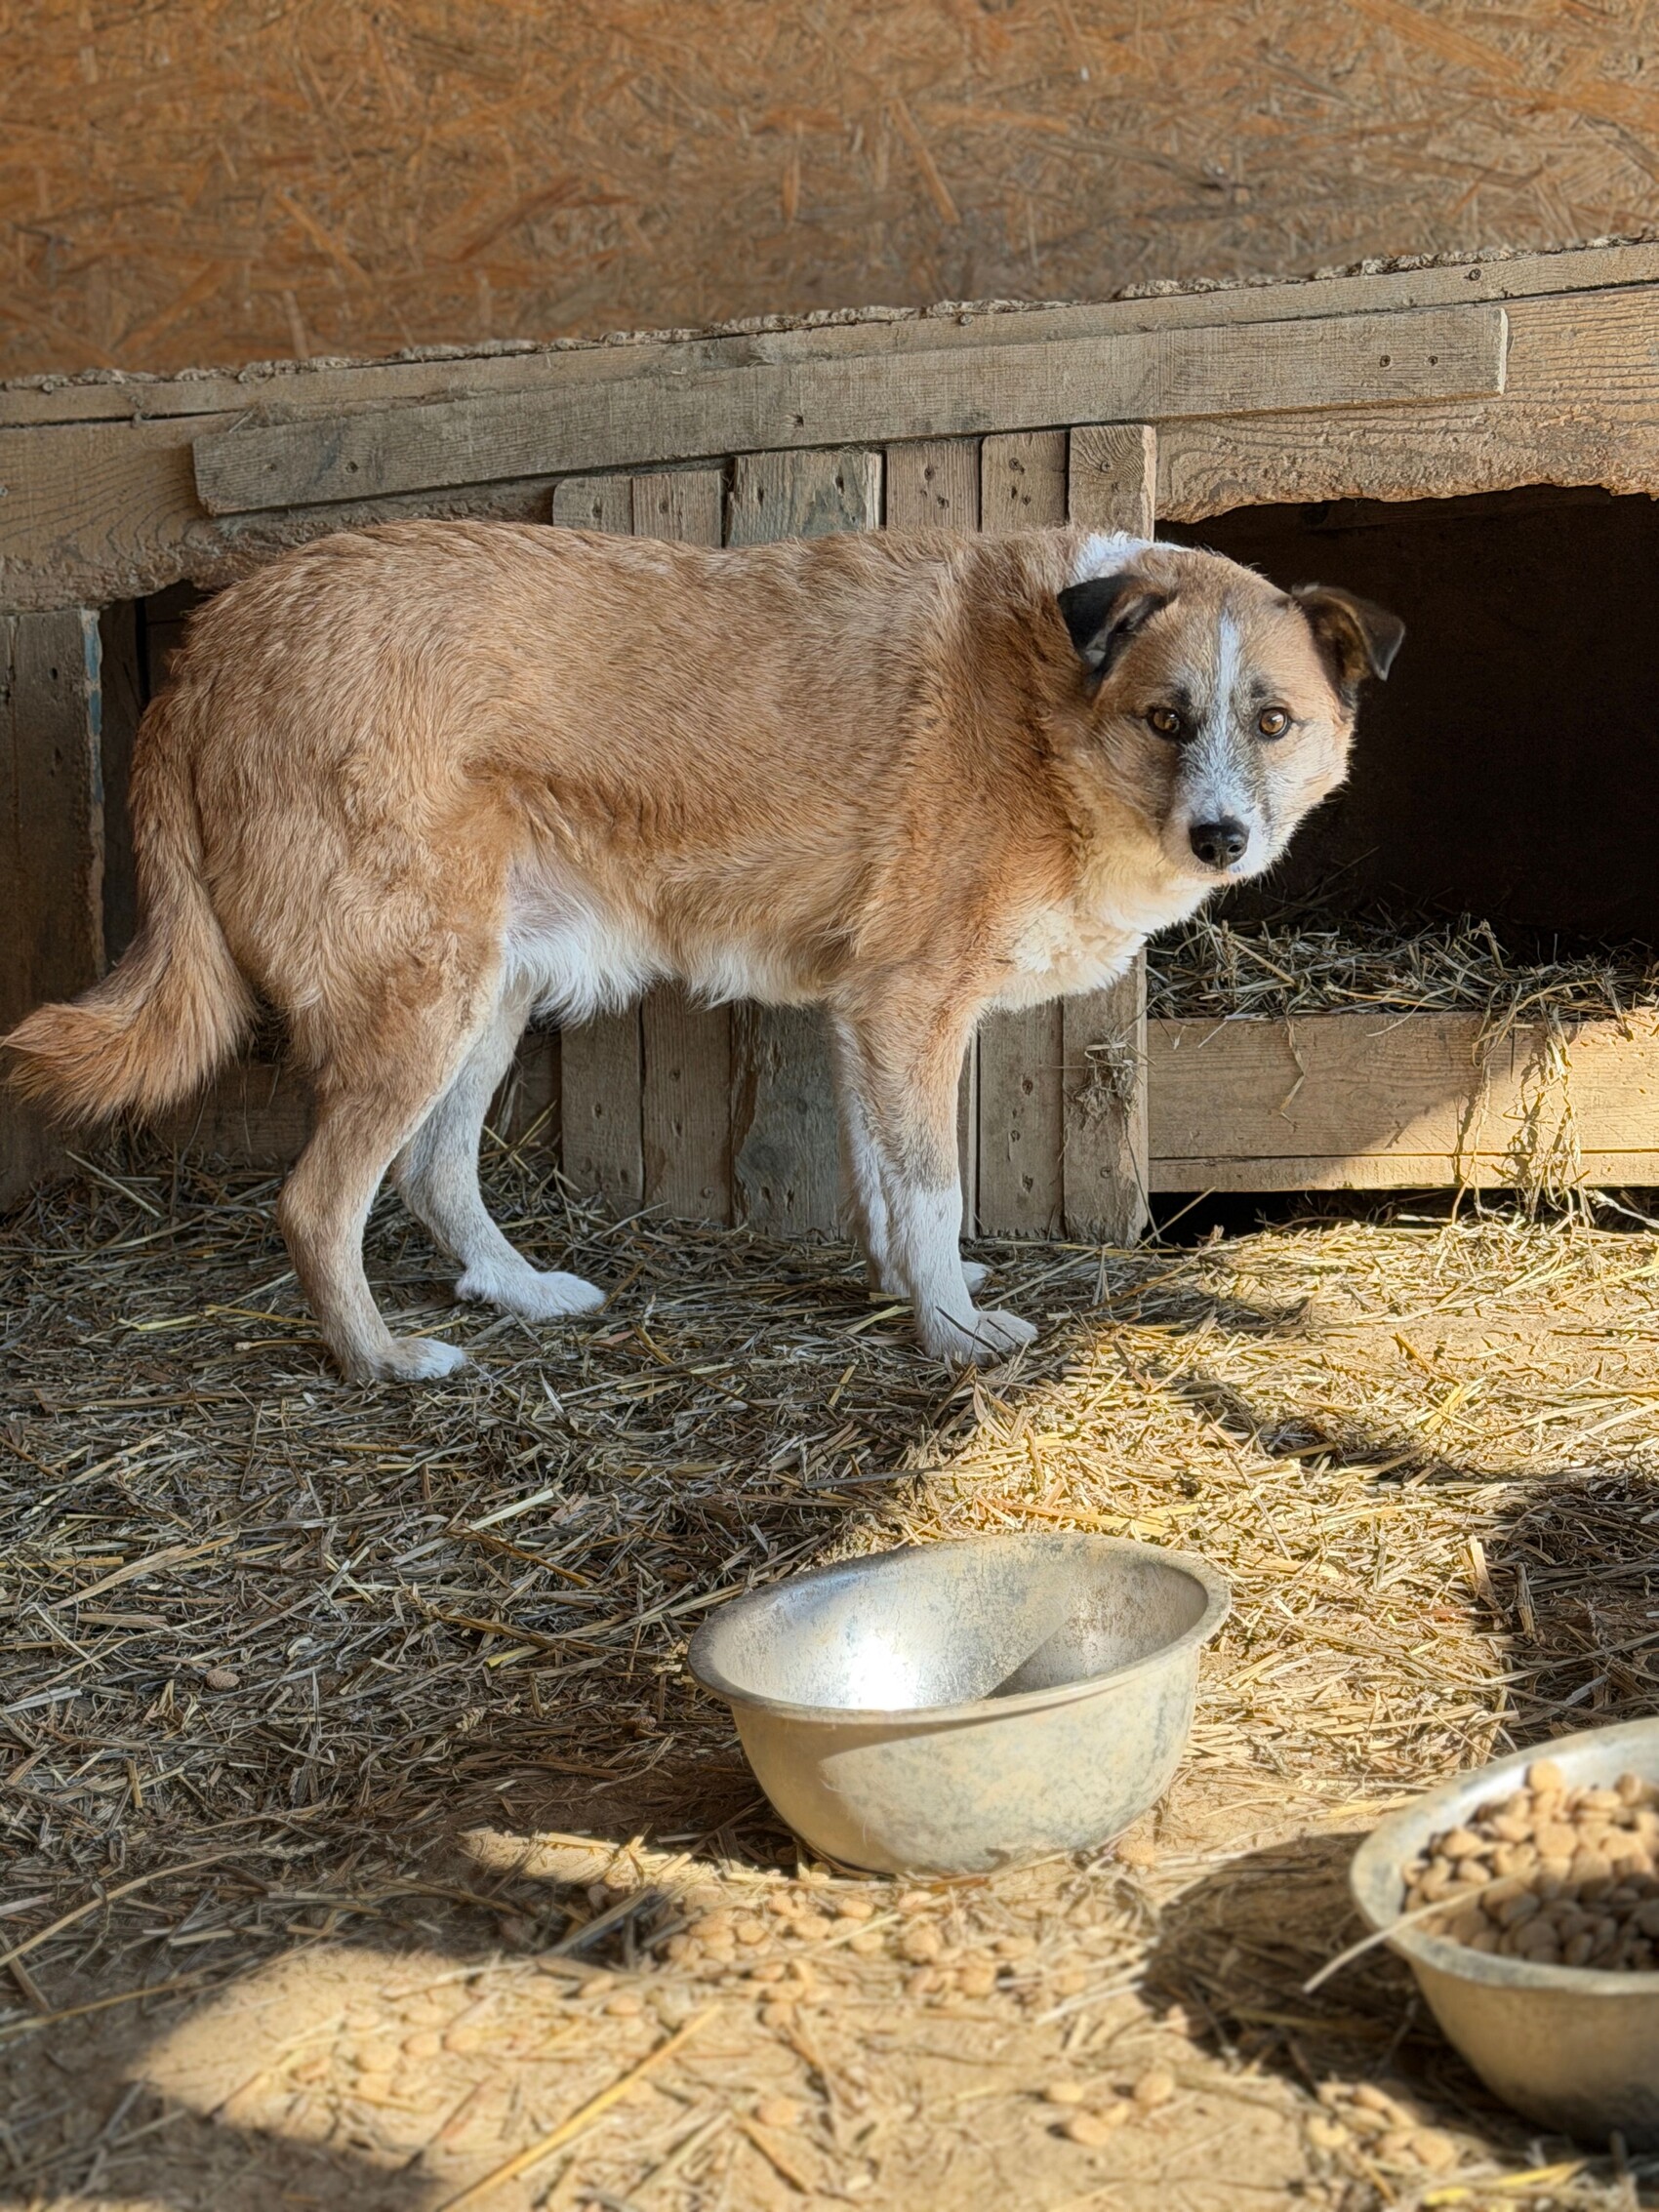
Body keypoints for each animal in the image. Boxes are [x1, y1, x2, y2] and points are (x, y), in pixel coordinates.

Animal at [4, 519, 1400, 1380]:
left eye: (1271, 721)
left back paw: (520, 1293)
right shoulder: (910, 1009)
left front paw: (910, 1295)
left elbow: (887, 1194)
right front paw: (952, 1333)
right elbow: (931, 1186)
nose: (1219, 837)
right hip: (420, 1000)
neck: (1054, 704)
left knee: (433, 1173)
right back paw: (382, 1359)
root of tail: (216, 642)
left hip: (483, 995)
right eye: (1166, 717)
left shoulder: (865, 1019)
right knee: (316, 1200)